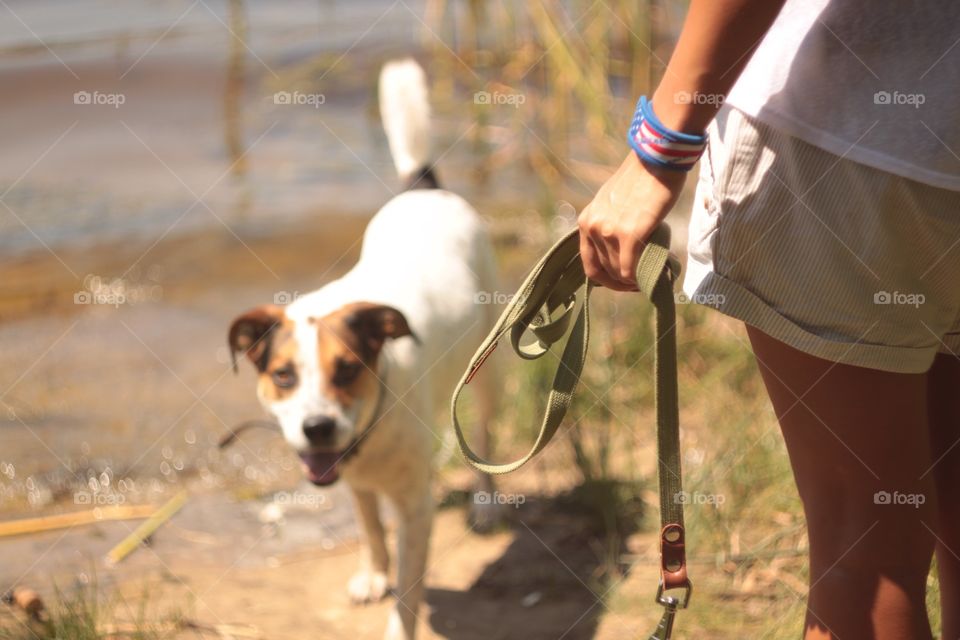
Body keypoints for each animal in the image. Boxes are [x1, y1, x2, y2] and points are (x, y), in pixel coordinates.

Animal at [228, 60, 502, 640]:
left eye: (348, 369)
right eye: (283, 376)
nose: (317, 428)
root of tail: (424, 189)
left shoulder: (416, 508)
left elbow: (409, 593)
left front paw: (398, 617)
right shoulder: (354, 482)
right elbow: (371, 528)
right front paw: (374, 574)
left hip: (492, 370)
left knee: (487, 433)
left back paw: (488, 504)